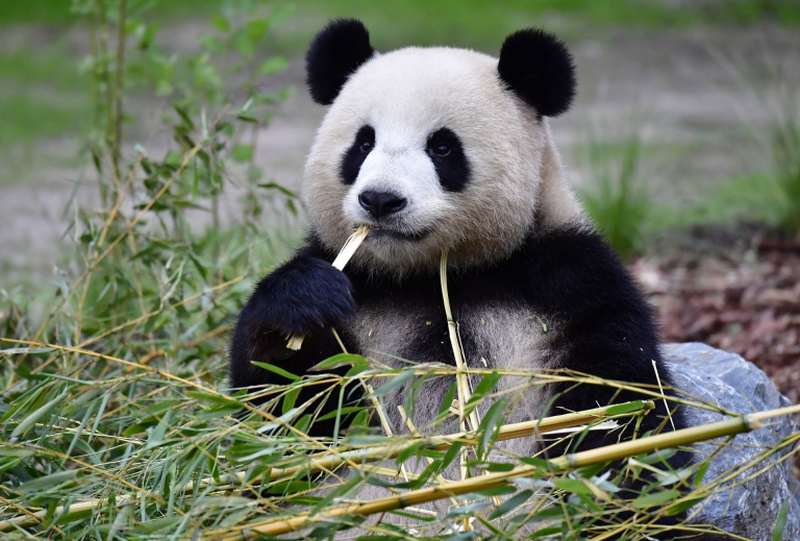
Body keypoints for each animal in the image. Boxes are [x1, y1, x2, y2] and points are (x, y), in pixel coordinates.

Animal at [230, 19, 685, 465]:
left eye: (443, 147)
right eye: (363, 143)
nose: (380, 199)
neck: (435, 275)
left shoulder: (571, 283)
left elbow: (622, 404)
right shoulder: (357, 288)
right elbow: (281, 410)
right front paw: (302, 301)